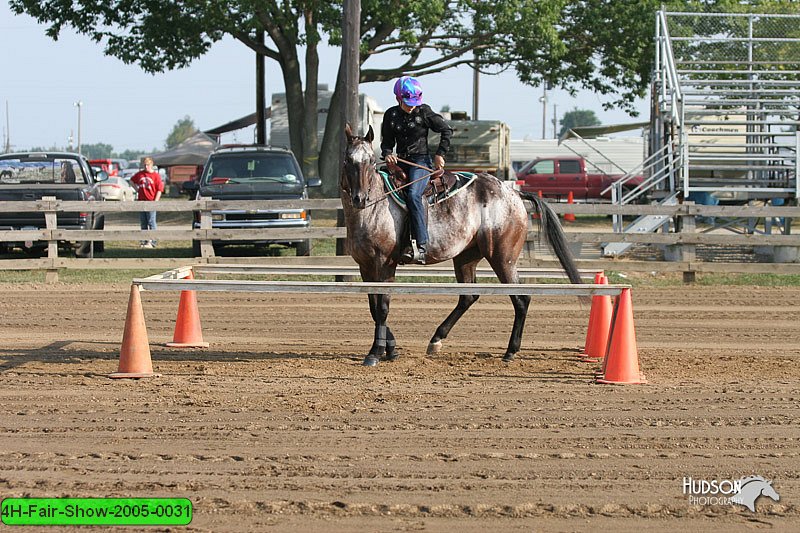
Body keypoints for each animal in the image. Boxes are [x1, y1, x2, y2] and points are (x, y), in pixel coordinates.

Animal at [340, 123, 580, 366]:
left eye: (371, 160)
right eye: (348, 159)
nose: (360, 198)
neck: (374, 208)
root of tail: (513, 192)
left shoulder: (385, 263)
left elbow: (382, 307)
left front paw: (375, 352)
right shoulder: (366, 266)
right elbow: (373, 307)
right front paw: (391, 349)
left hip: (503, 258)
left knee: (521, 299)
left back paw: (510, 351)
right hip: (467, 256)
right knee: (468, 296)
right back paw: (436, 340)